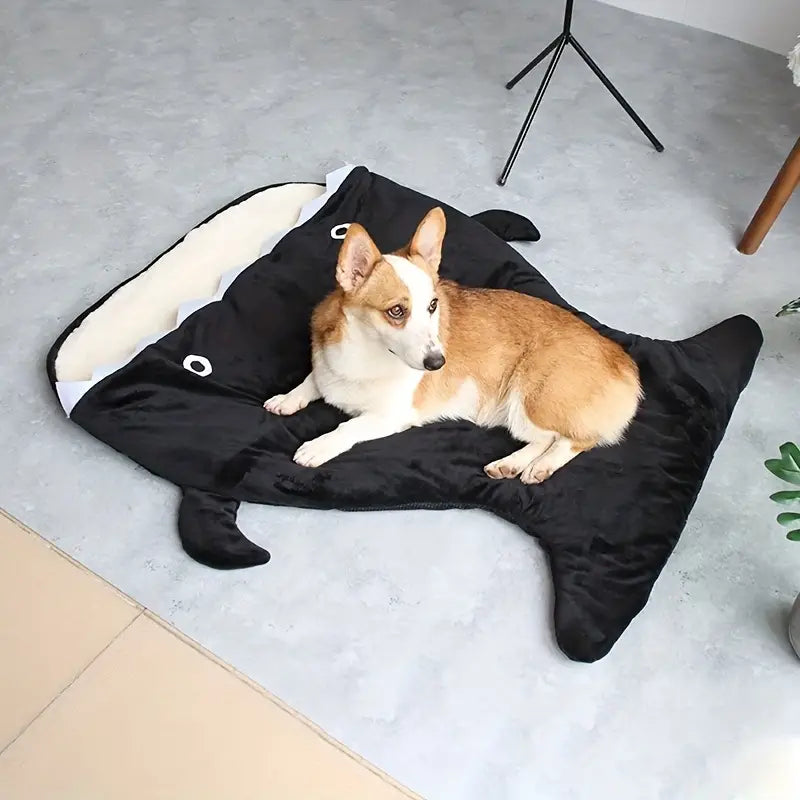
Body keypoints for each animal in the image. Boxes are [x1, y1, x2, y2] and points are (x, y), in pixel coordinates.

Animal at [266, 208, 640, 482]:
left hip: (531, 401)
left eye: (433, 305)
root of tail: (625, 362)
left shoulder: (391, 416)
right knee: (545, 439)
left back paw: (538, 467)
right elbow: (312, 380)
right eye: (397, 311)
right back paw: (512, 464)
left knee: (572, 439)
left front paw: (318, 447)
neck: (366, 352)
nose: (437, 364)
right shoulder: (327, 370)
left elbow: (348, 426)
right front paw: (286, 399)